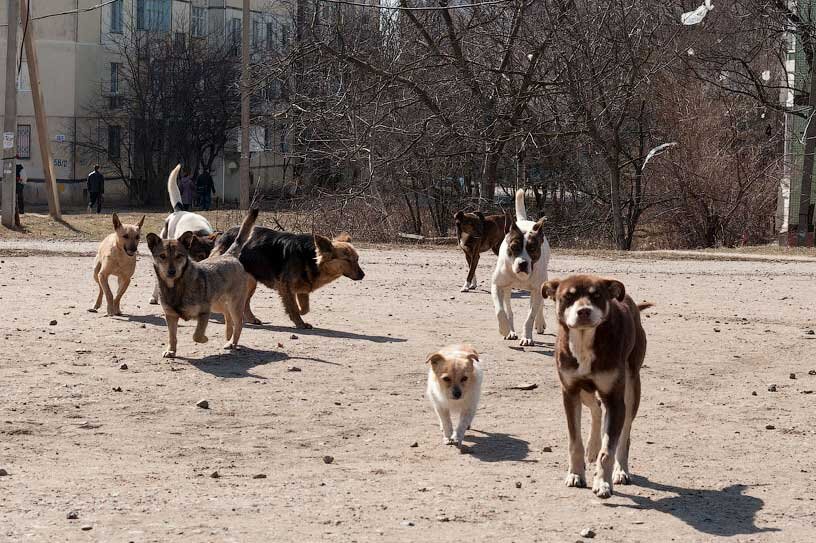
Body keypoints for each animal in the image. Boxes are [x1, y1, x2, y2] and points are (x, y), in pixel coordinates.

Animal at [147, 207, 258, 356]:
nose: (171, 272)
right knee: (226, 313)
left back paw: (232, 342)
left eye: (179, 256)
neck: (176, 286)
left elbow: (197, 335)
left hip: (234, 303)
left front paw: (204, 338)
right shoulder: (170, 316)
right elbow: (172, 336)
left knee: (238, 323)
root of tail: (229, 255)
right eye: (162, 256)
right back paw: (228, 333)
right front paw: (171, 350)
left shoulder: (204, 313)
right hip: (217, 303)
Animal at [212, 228, 364, 330]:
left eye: (357, 259)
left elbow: (304, 308)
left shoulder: (302, 289)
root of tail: (226, 232)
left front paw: (298, 314)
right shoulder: (285, 286)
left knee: (246, 303)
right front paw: (299, 322)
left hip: (251, 283)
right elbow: (294, 306)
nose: (363, 275)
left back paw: (251, 318)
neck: (310, 257)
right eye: (347, 260)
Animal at [488, 189, 552, 346]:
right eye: (514, 247)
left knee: (539, 306)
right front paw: (505, 329)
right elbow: (500, 311)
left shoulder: (537, 289)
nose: (522, 263)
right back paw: (511, 331)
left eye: (532, 248)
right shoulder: (497, 286)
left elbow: (530, 316)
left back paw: (539, 323)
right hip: (507, 289)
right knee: (508, 309)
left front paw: (527, 336)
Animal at [540, 276, 652, 502]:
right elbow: (575, 442)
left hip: (632, 386)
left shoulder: (615, 399)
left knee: (624, 433)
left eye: (597, 295)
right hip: (584, 389)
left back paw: (621, 470)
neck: (584, 342)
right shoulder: (570, 392)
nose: (583, 311)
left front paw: (602, 483)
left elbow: (608, 450)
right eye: (568, 296)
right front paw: (575, 474)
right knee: (596, 407)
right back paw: (592, 448)